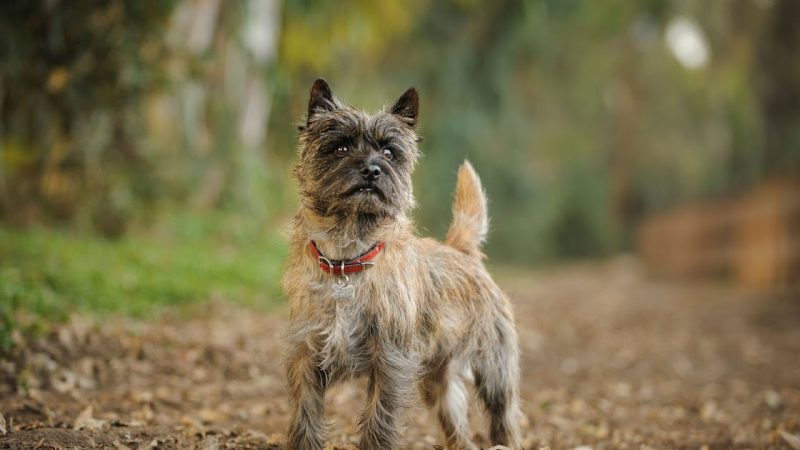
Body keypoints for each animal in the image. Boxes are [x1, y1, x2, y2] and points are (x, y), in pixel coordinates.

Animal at [282, 79, 524, 448]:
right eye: (340, 148)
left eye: (388, 152)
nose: (372, 169)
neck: (346, 259)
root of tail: (461, 251)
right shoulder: (307, 356)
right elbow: (305, 419)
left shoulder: (391, 361)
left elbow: (379, 419)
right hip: (439, 382)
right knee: (457, 427)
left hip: (494, 371)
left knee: (504, 417)